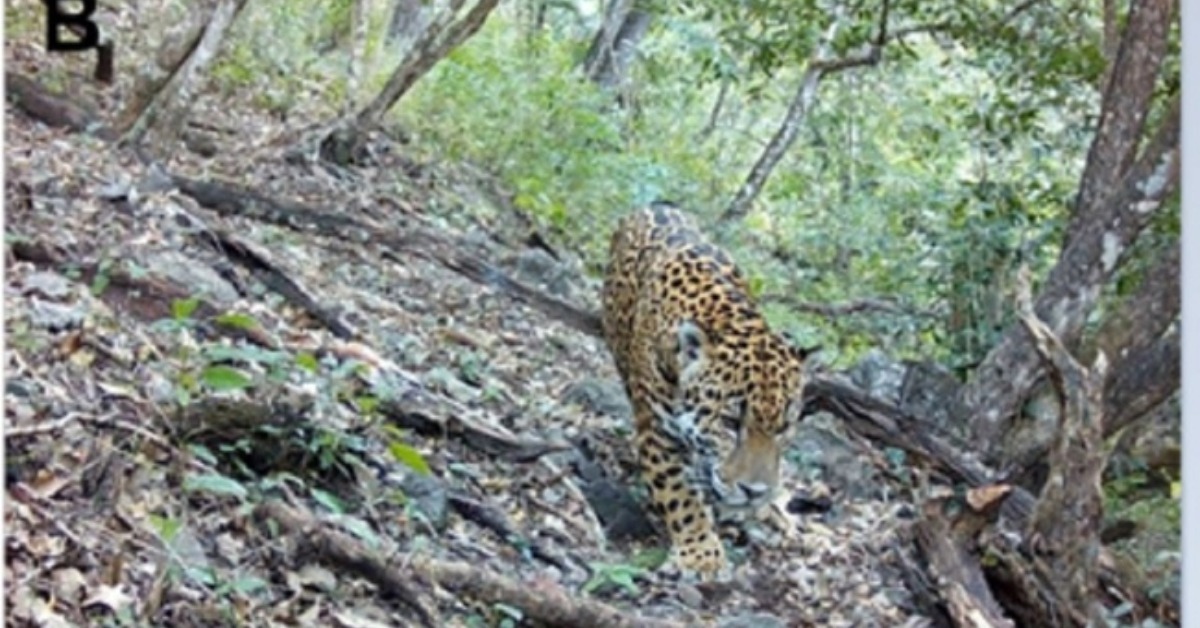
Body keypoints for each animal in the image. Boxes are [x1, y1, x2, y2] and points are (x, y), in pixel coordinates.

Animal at [600, 201, 810, 579]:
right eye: (729, 421)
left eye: (784, 427)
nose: (755, 492)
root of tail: (656, 204)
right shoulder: (657, 431)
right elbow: (679, 495)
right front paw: (702, 555)